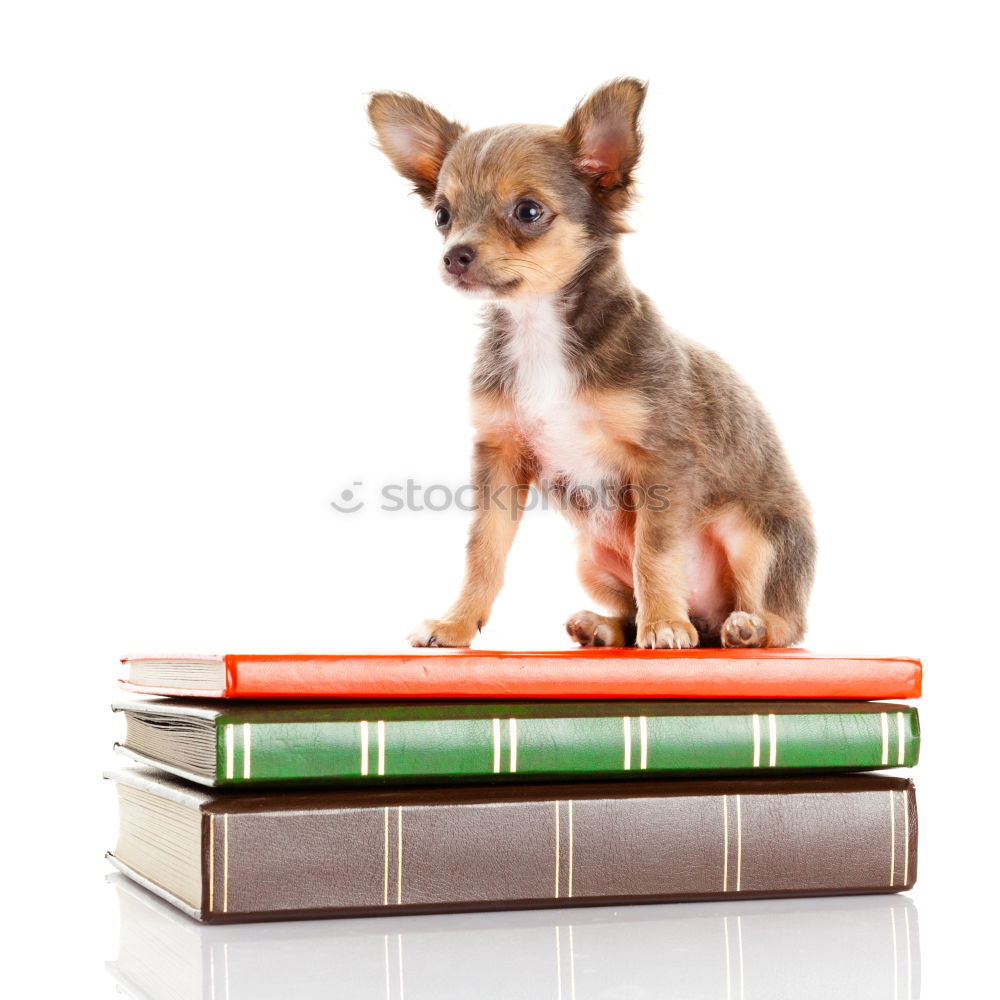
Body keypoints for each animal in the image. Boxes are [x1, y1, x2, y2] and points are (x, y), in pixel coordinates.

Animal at [372, 76, 816, 648]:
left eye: (529, 212)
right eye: (442, 216)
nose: (454, 256)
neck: (540, 329)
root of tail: (710, 619)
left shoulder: (661, 463)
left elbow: (655, 552)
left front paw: (664, 623)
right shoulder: (500, 457)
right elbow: (484, 550)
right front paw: (456, 623)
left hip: (754, 538)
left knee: (785, 623)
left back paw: (741, 628)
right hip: (589, 558)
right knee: (631, 614)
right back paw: (604, 627)